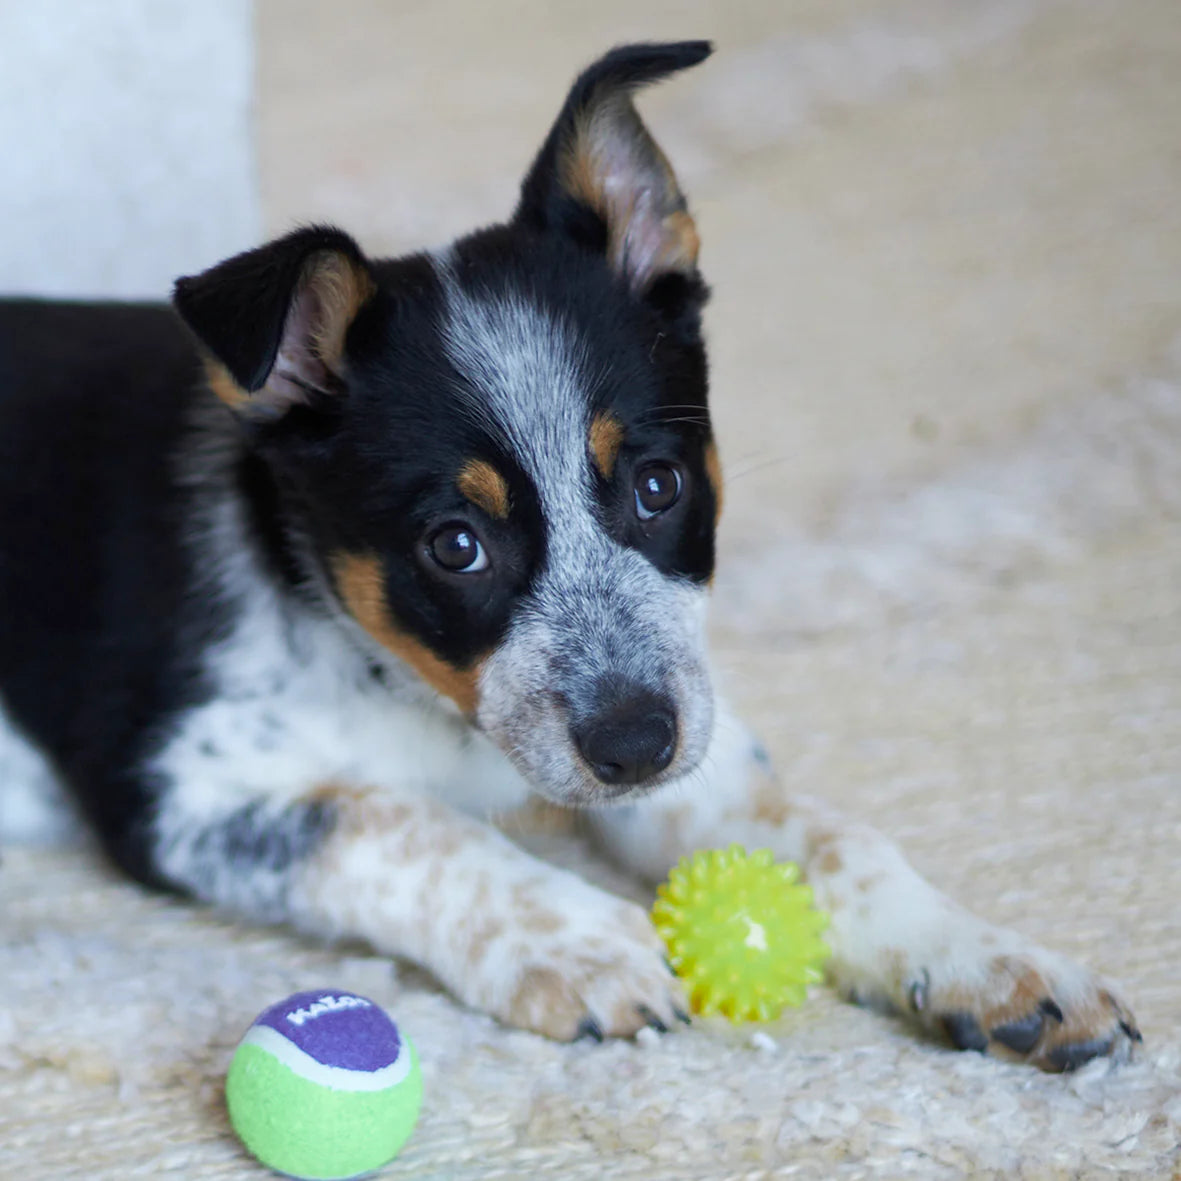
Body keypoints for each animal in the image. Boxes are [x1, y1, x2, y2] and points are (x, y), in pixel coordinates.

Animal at [0, 41, 1133, 1067]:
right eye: (455, 545)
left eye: (656, 486)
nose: (634, 745)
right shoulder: (177, 785)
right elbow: (399, 819)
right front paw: (575, 939)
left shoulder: (700, 744)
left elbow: (829, 836)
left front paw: (987, 957)